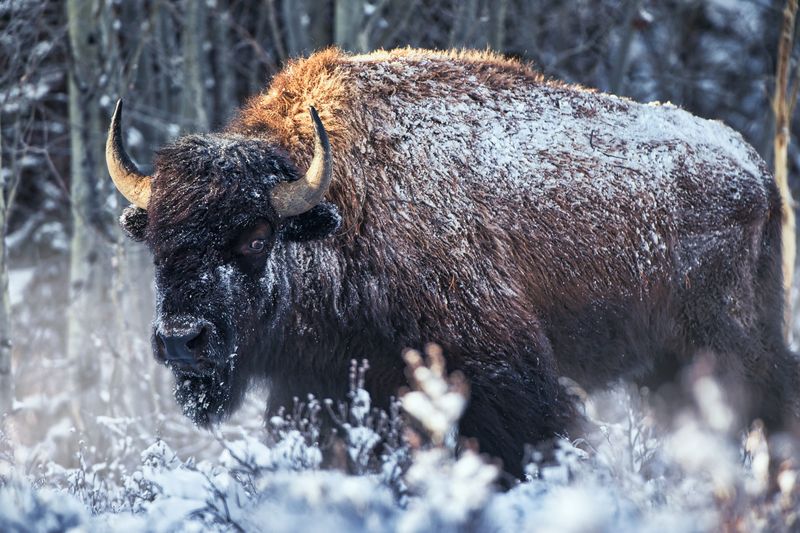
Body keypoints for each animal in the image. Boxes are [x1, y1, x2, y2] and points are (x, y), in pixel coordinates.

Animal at [107, 48, 799, 477]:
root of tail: (754, 171)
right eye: (158, 242)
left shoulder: (502, 375)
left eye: (254, 238)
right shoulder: (324, 385)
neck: (341, 210)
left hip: (726, 342)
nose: (183, 341)